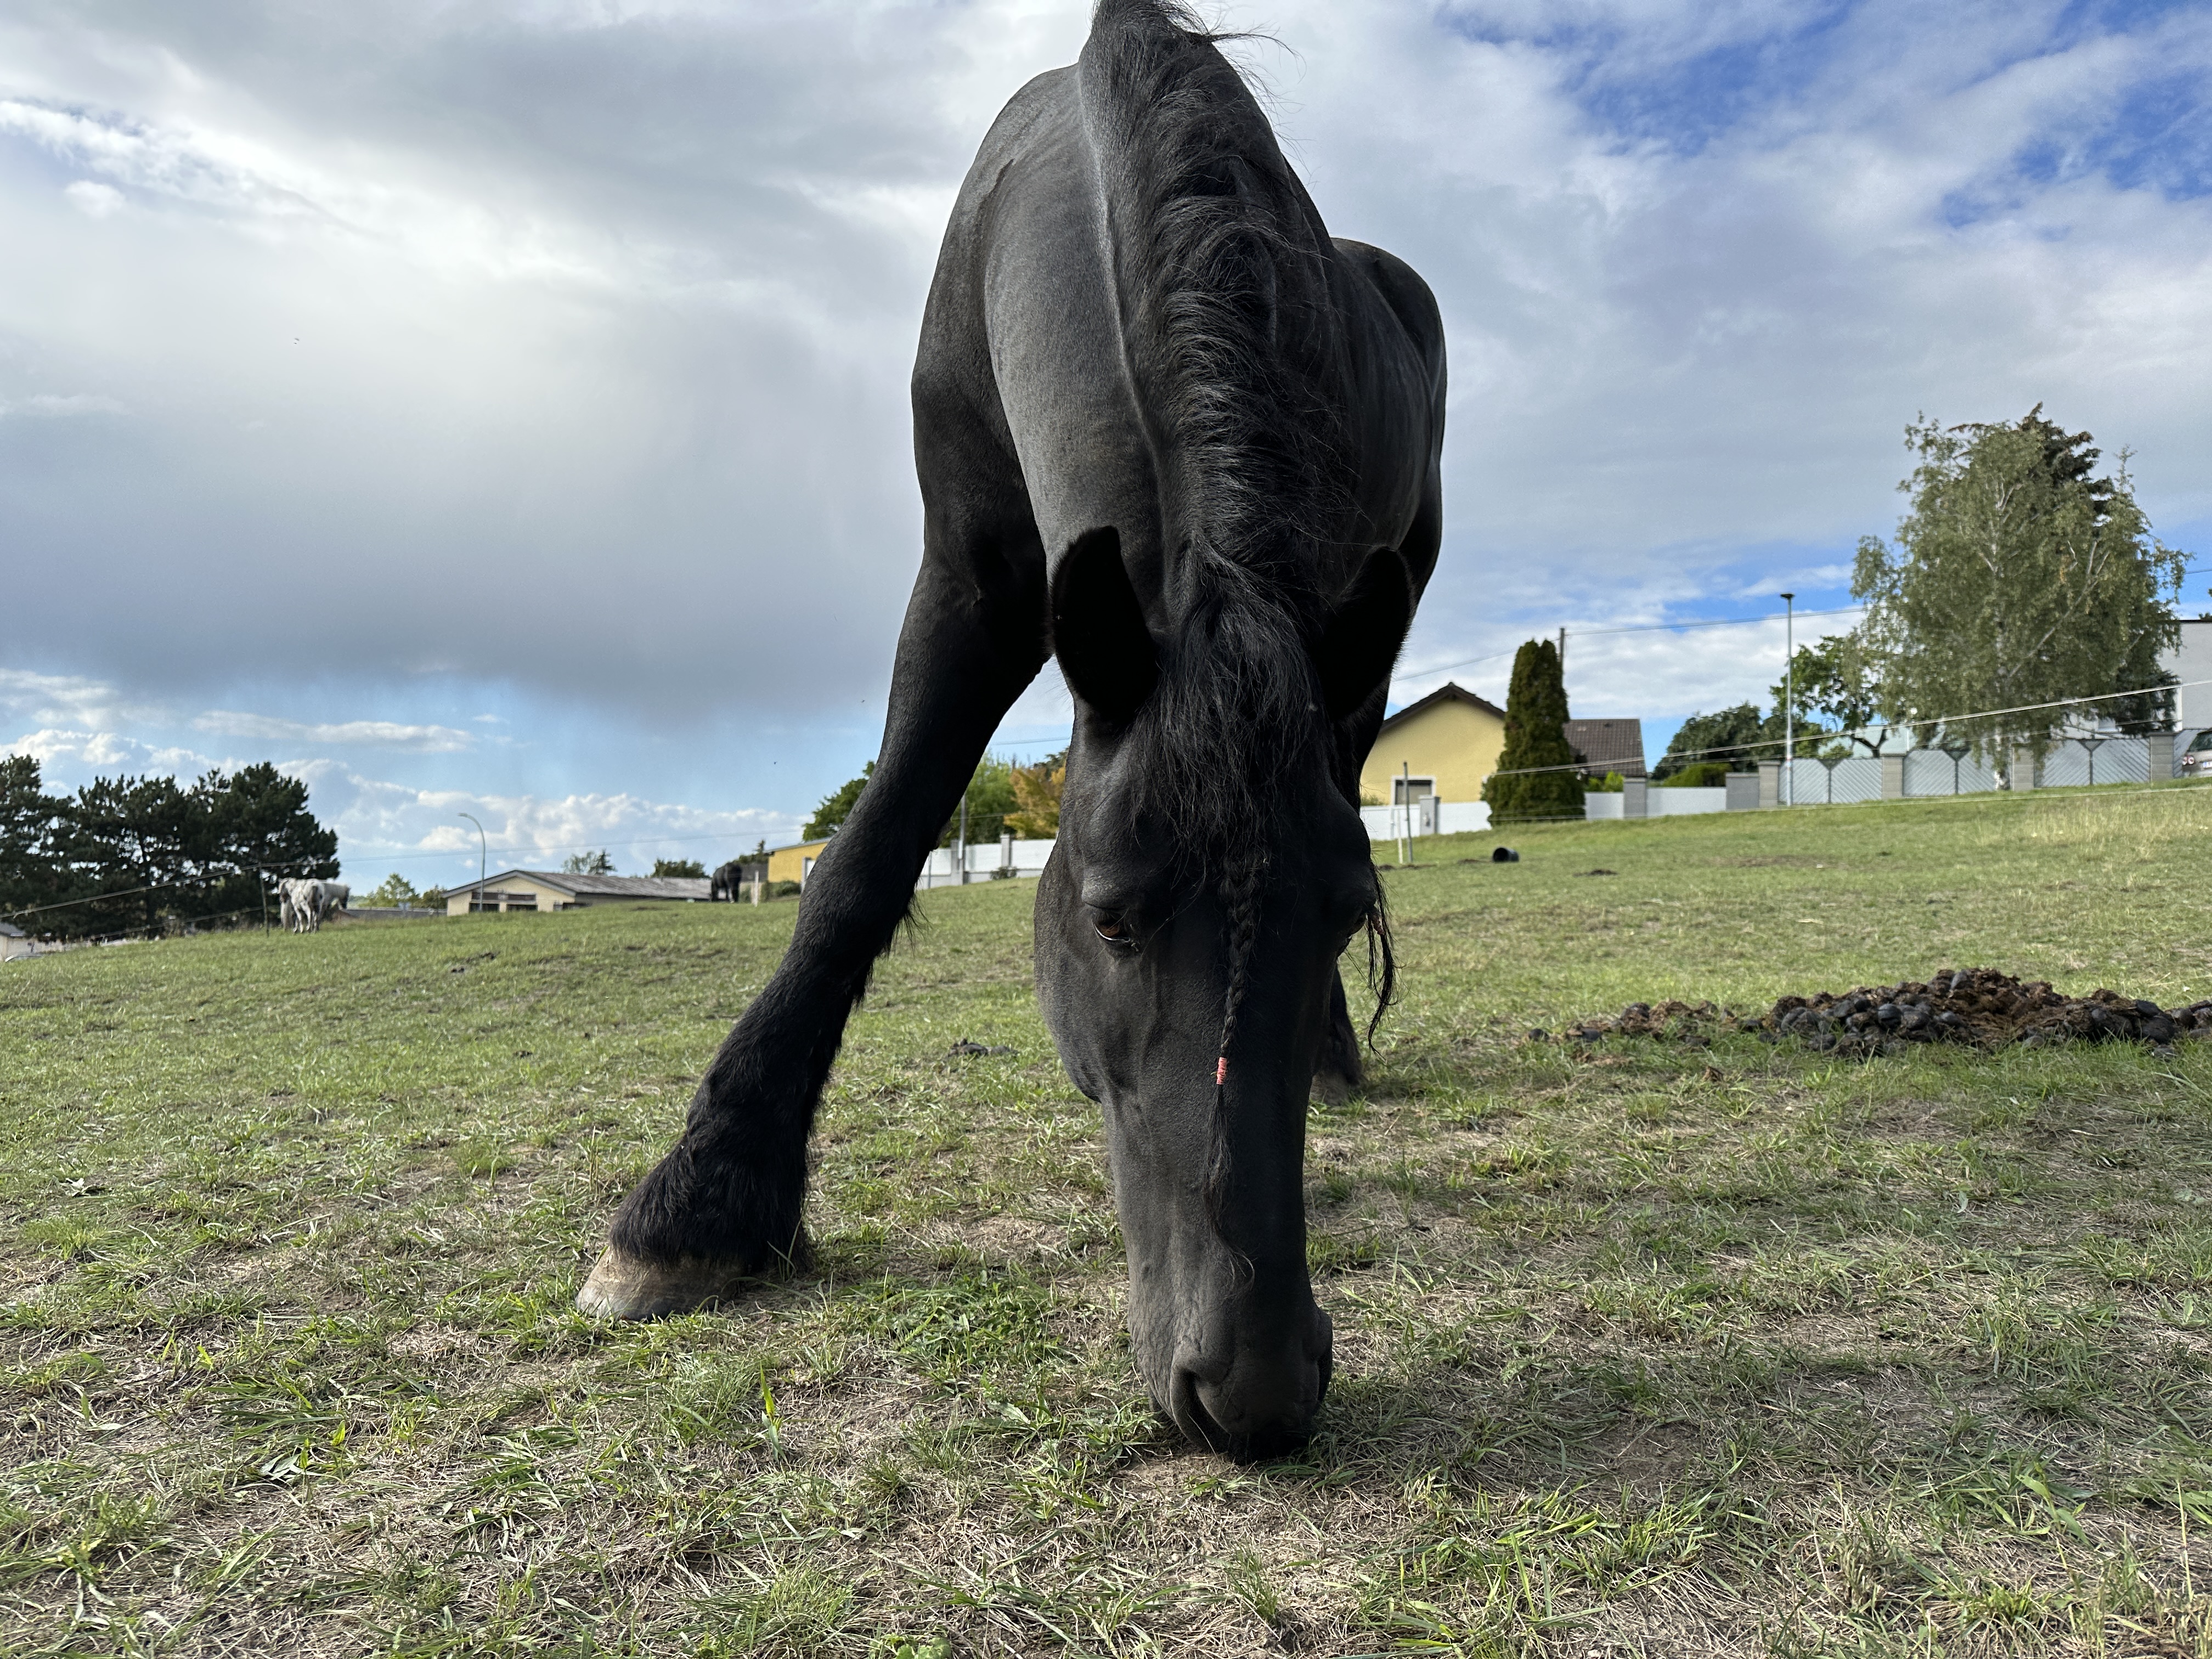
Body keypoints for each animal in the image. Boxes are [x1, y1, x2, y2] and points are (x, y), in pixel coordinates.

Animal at [580, 0, 1444, 1460]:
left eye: (1344, 914)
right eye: (1108, 916)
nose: (1256, 1385)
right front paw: (695, 1208)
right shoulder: (973, 580)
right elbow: (862, 863)